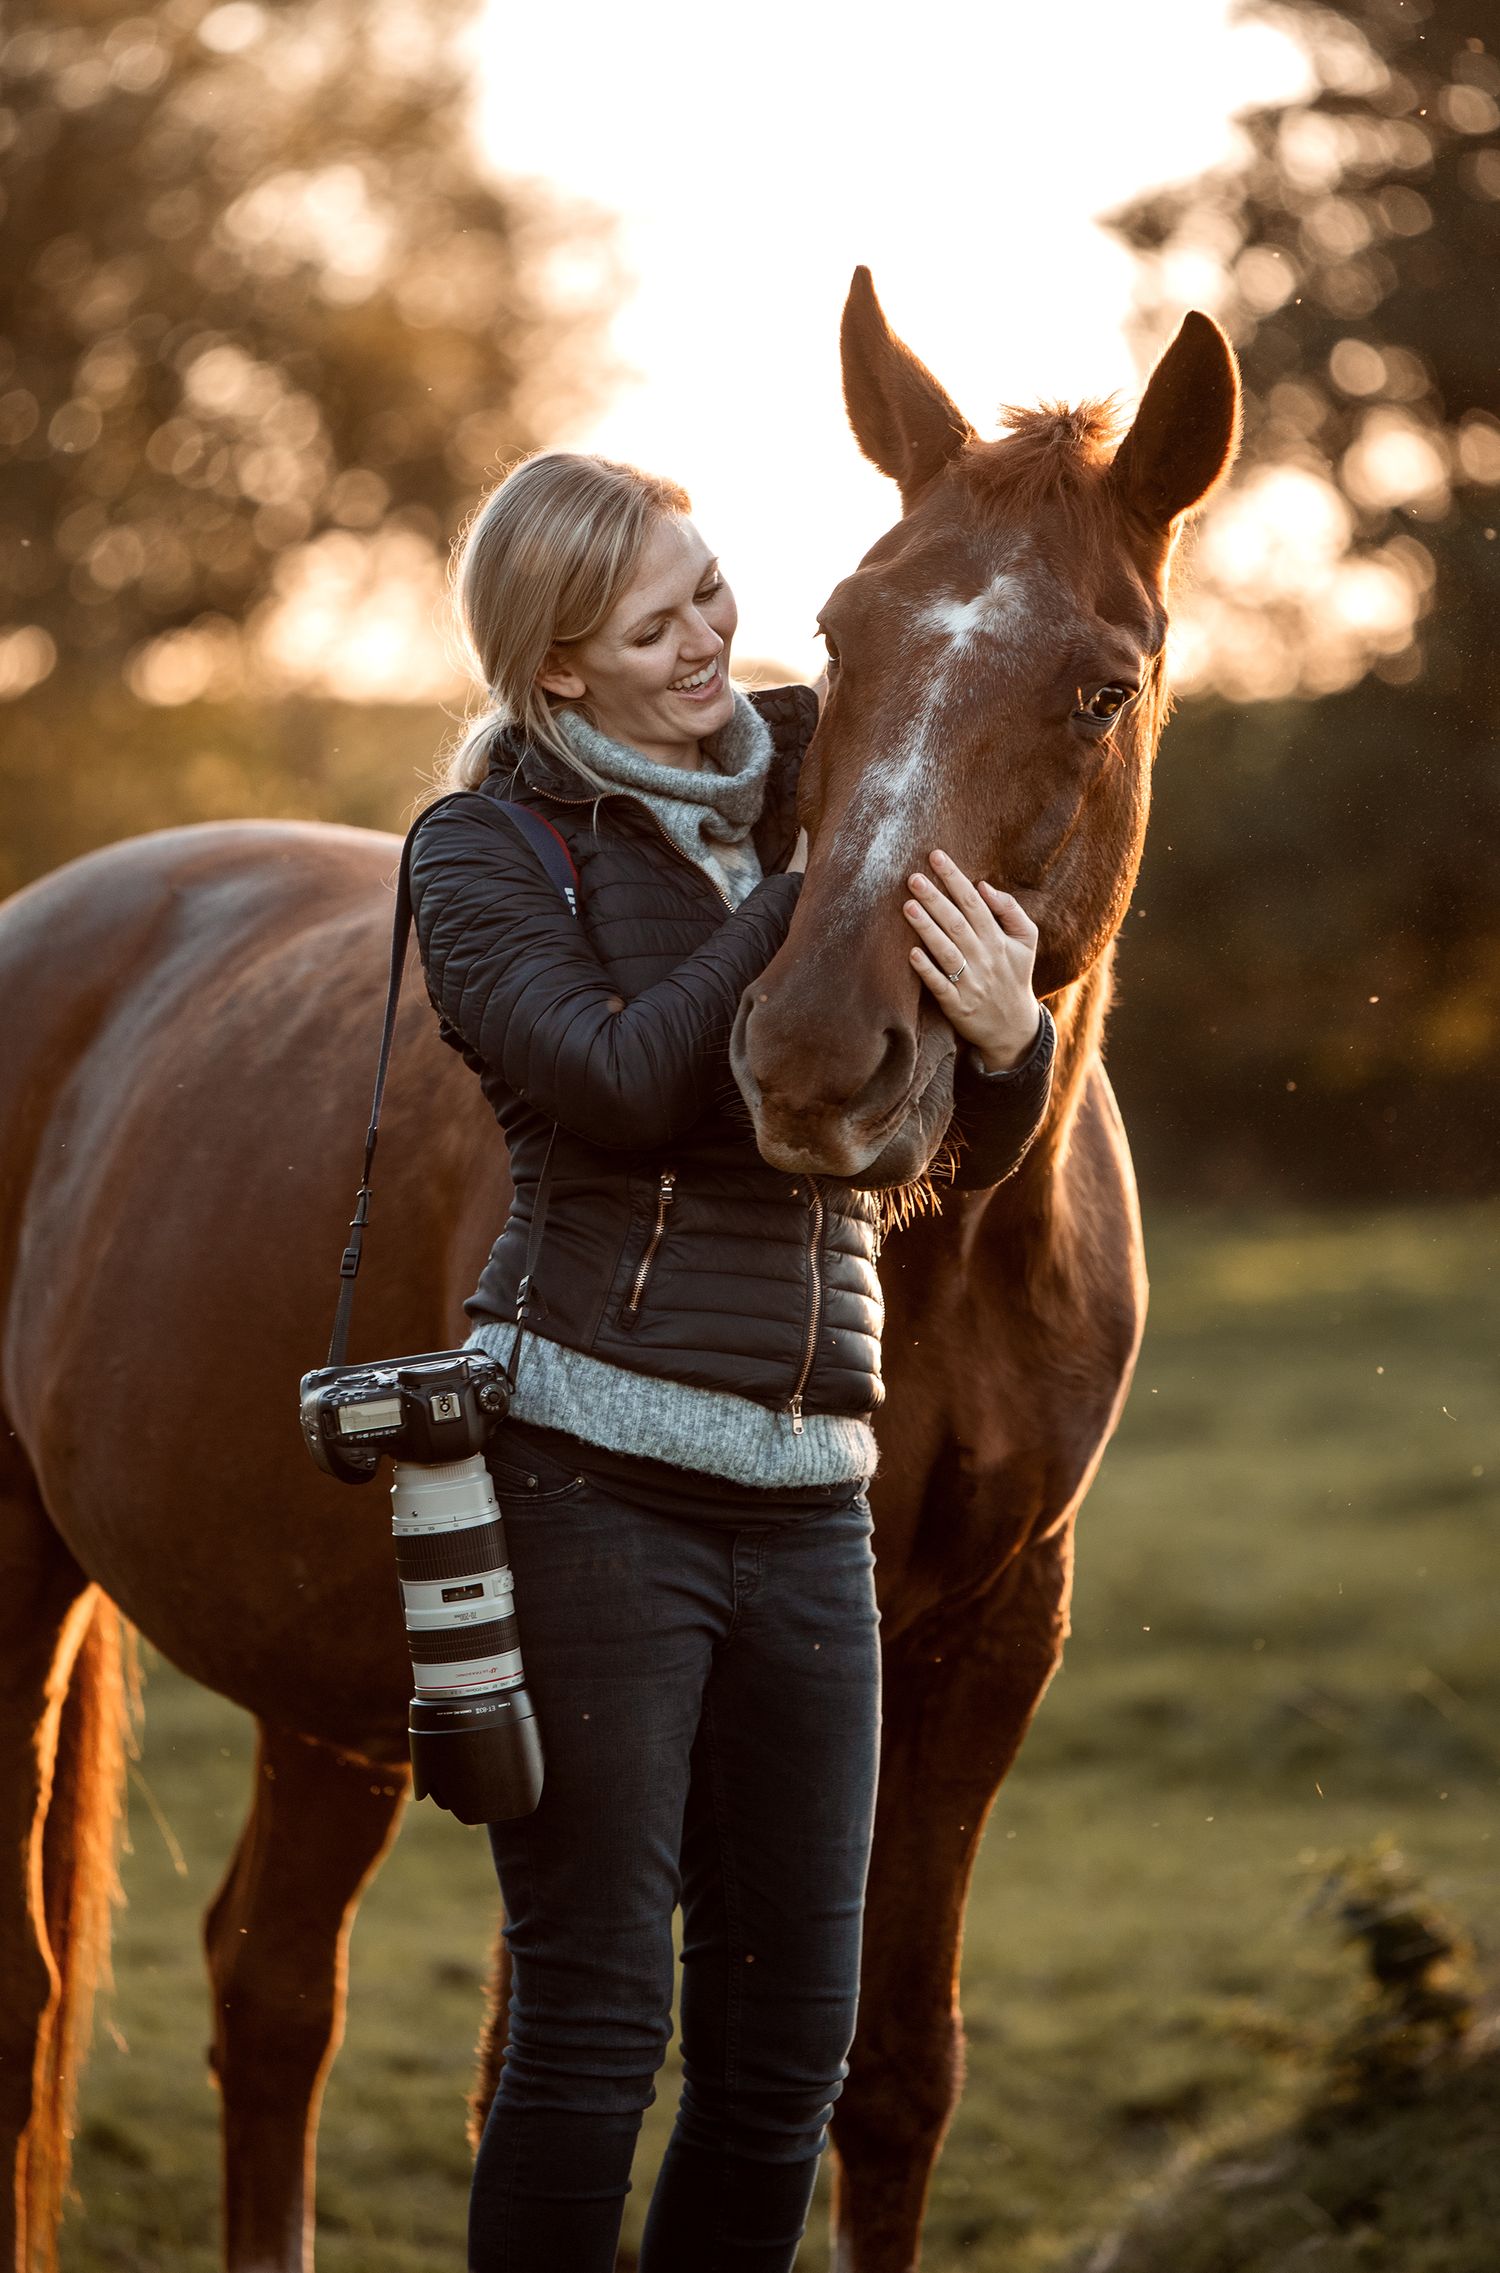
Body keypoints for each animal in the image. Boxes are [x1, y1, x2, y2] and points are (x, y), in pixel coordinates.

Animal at [0, 267, 1238, 2272]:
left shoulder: (980, 1653)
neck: (937, 1273)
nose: (815, 1057)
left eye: (1099, 685)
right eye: (839, 634)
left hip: (327, 1688)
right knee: (39, 1986)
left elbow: (892, 2077)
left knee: (269, 1989)